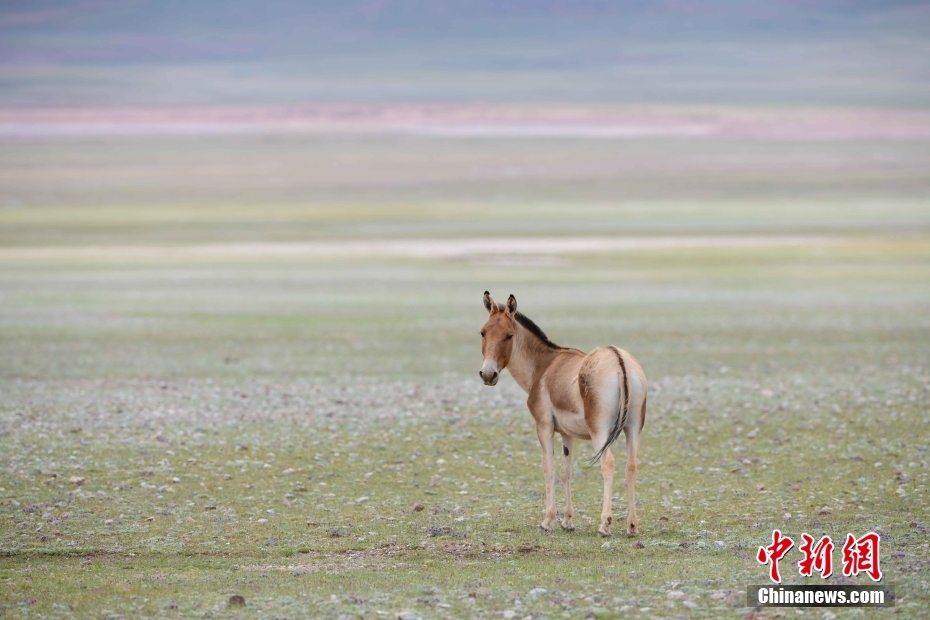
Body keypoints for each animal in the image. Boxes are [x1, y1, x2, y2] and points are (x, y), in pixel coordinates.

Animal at [478, 291, 647, 537]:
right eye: (483, 332)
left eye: (509, 335)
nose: (488, 375)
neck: (544, 365)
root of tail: (619, 361)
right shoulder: (568, 434)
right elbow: (566, 471)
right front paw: (567, 521)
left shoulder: (544, 427)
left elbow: (548, 468)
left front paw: (548, 520)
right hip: (633, 427)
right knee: (631, 467)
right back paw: (632, 526)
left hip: (600, 431)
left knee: (608, 464)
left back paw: (605, 524)